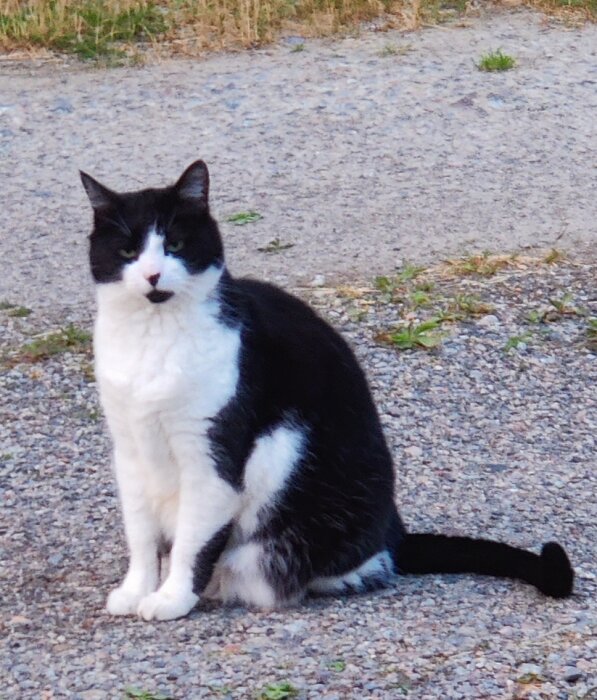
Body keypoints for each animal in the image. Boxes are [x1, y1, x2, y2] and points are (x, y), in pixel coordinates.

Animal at [79, 161, 572, 620]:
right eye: (128, 251)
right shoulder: (129, 448)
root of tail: (394, 527)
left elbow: (191, 542)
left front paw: (173, 598)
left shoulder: (212, 455)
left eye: (176, 246)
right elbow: (141, 535)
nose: (153, 275)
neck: (152, 339)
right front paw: (137, 590)